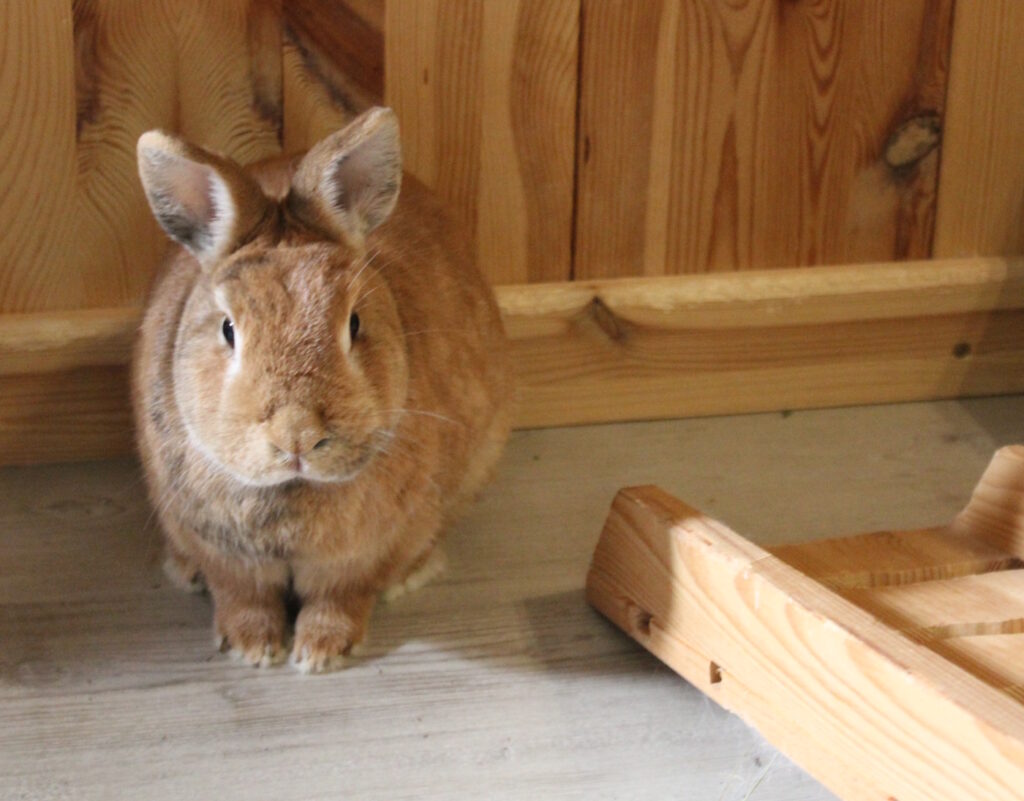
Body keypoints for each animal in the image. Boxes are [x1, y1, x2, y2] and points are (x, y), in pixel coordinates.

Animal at [133, 107, 513, 673]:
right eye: (228, 329)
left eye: (354, 323)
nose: (297, 436)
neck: (294, 489)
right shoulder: (226, 556)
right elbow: (242, 596)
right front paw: (253, 649)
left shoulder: (362, 557)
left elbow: (341, 598)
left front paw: (320, 653)